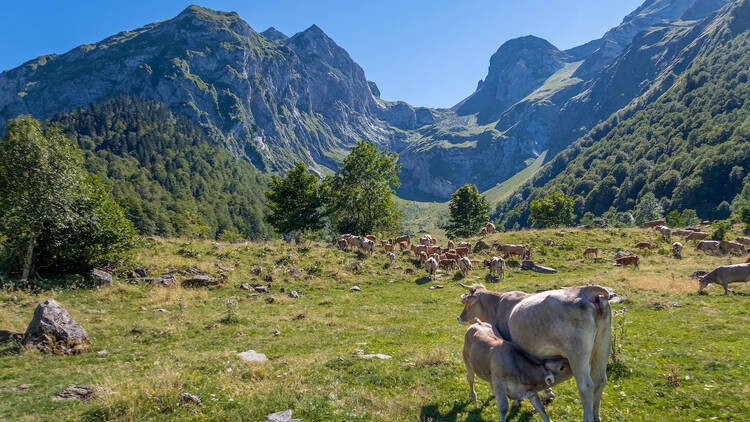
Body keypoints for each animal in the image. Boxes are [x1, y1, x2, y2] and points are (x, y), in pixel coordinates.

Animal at [462, 284, 612, 422]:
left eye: (466, 302)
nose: (460, 317)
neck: (497, 306)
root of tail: (585, 291)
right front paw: (548, 393)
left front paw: (517, 401)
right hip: (602, 348)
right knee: (600, 381)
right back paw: (596, 416)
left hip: (577, 354)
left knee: (586, 386)